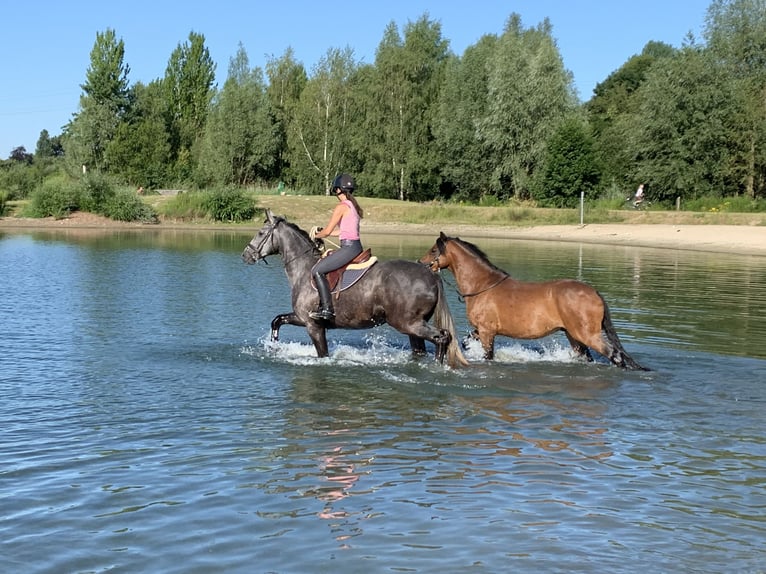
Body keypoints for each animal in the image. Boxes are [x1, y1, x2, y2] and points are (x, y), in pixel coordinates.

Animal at [241, 210, 468, 368]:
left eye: (260, 233)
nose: (246, 255)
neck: (304, 269)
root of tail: (430, 274)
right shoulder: (302, 318)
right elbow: (277, 320)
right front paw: (274, 345)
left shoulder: (313, 325)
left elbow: (323, 354)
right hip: (414, 326)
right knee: (424, 347)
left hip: (408, 323)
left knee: (442, 337)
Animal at [419, 232, 648, 371]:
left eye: (433, 250)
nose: (420, 263)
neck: (483, 285)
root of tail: (594, 293)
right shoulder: (480, 331)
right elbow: (467, 340)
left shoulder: (487, 332)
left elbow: (488, 355)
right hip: (574, 336)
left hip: (588, 335)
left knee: (615, 355)